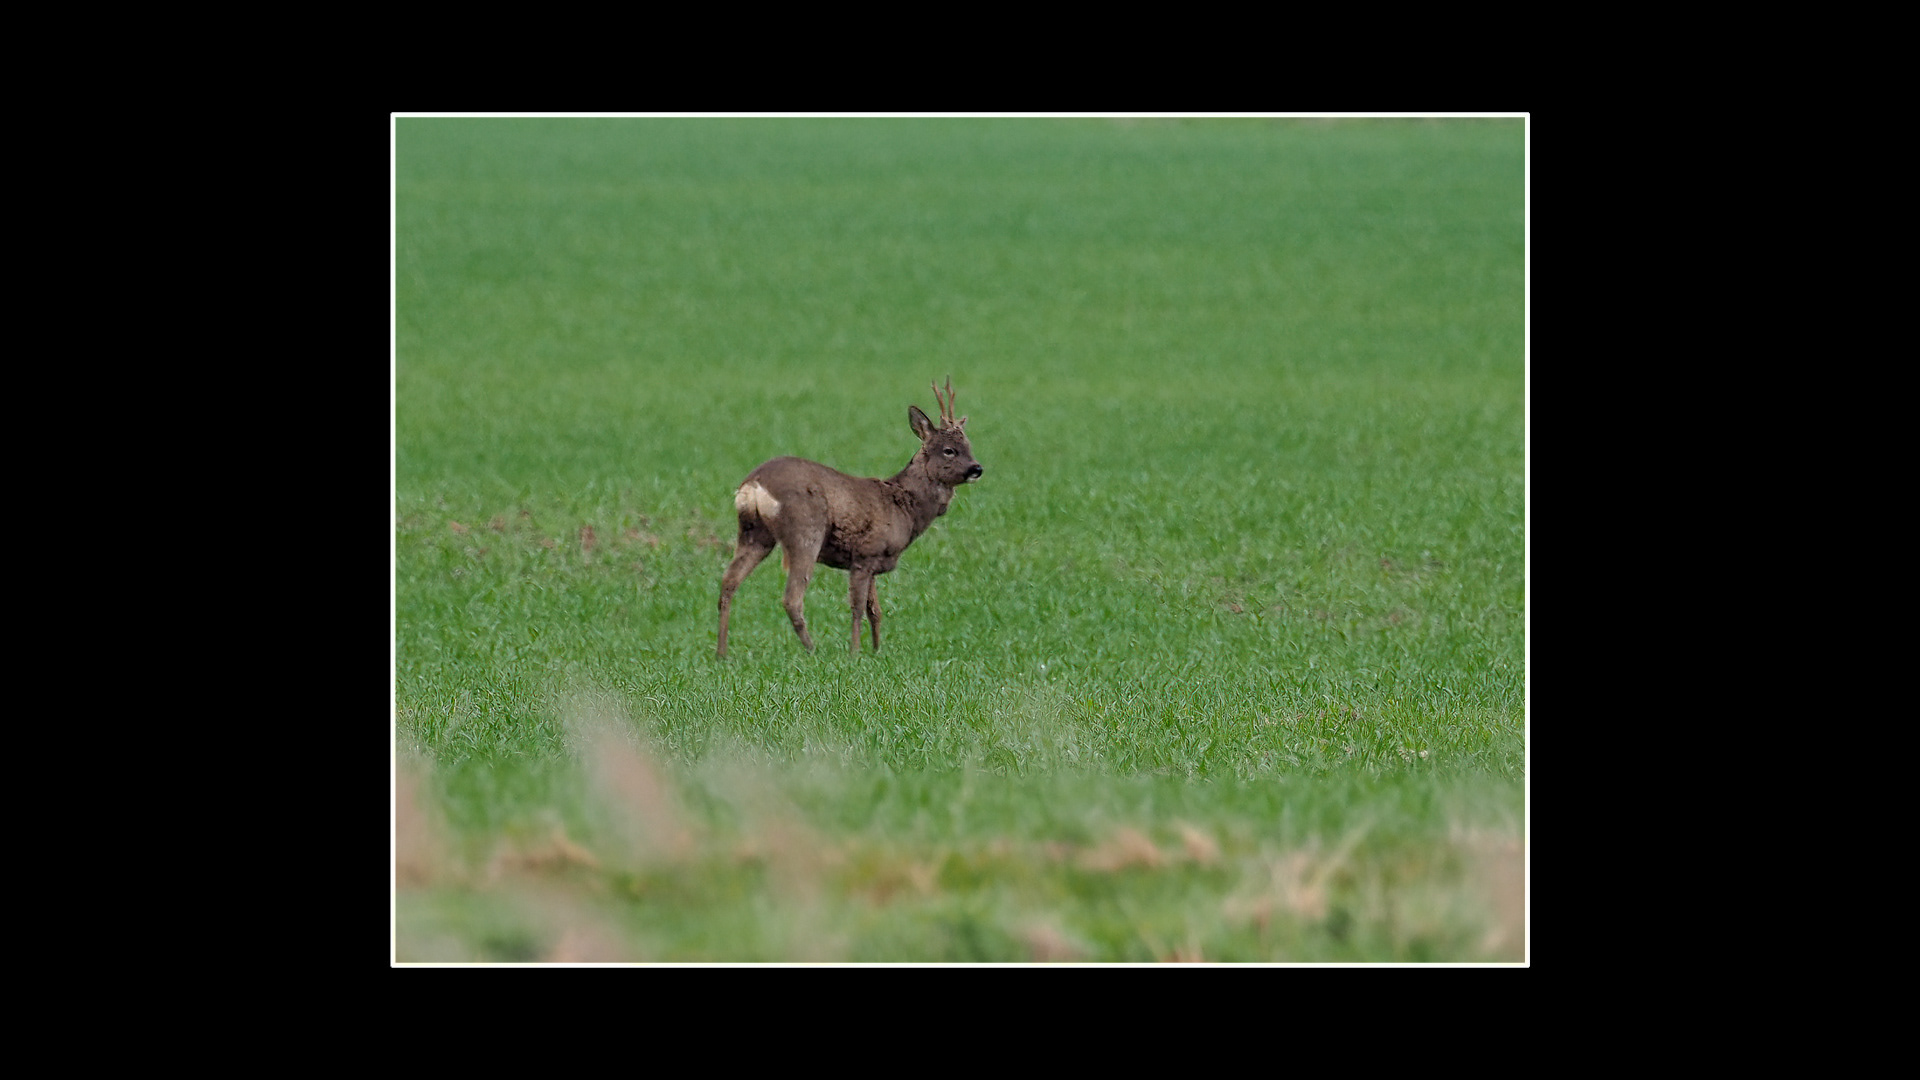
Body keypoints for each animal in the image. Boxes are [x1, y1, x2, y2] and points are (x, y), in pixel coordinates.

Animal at [717, 378, 983, 658]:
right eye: (949, 450)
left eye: (969, 446)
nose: (977, 468)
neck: (904, 507)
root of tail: (753, 484)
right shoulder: (864, 556)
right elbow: (857, 608)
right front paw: (855, 652)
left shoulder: (875, 562)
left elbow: (875, 610)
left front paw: (877, 651)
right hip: (804, 532)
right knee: (792, 598)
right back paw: (813, 650)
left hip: (754, 533)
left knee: (728, 582)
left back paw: (722, 654)